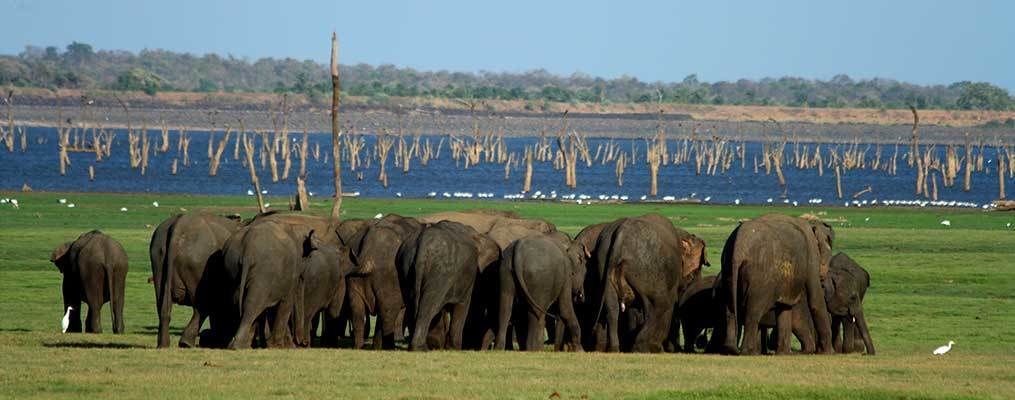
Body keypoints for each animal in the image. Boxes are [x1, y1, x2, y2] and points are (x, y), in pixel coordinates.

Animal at [149, 213, 240, 348]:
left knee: (162, 304)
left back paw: (163, 345)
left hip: (158, 257)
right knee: (201, 306)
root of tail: (179, 226)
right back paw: (186, 343)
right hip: (198, 264)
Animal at [399, 221, 500, 351]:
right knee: (429, 307)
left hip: (406, 266)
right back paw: (421, 348)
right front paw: (453, 348)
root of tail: (422, 244)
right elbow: (463, 305)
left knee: (412, 304)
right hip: (440, 271)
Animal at [713, 214, 835, 355]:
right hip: (760, 278)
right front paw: (828, 353)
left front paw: (783, 354)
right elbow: (816, 300)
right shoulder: (811, 254)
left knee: (730, 309)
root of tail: (739, 245)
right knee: (753, 311)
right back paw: (749, 352)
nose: (824, 277)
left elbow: (785, 307)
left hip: (727, 269)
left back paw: (730, 349)